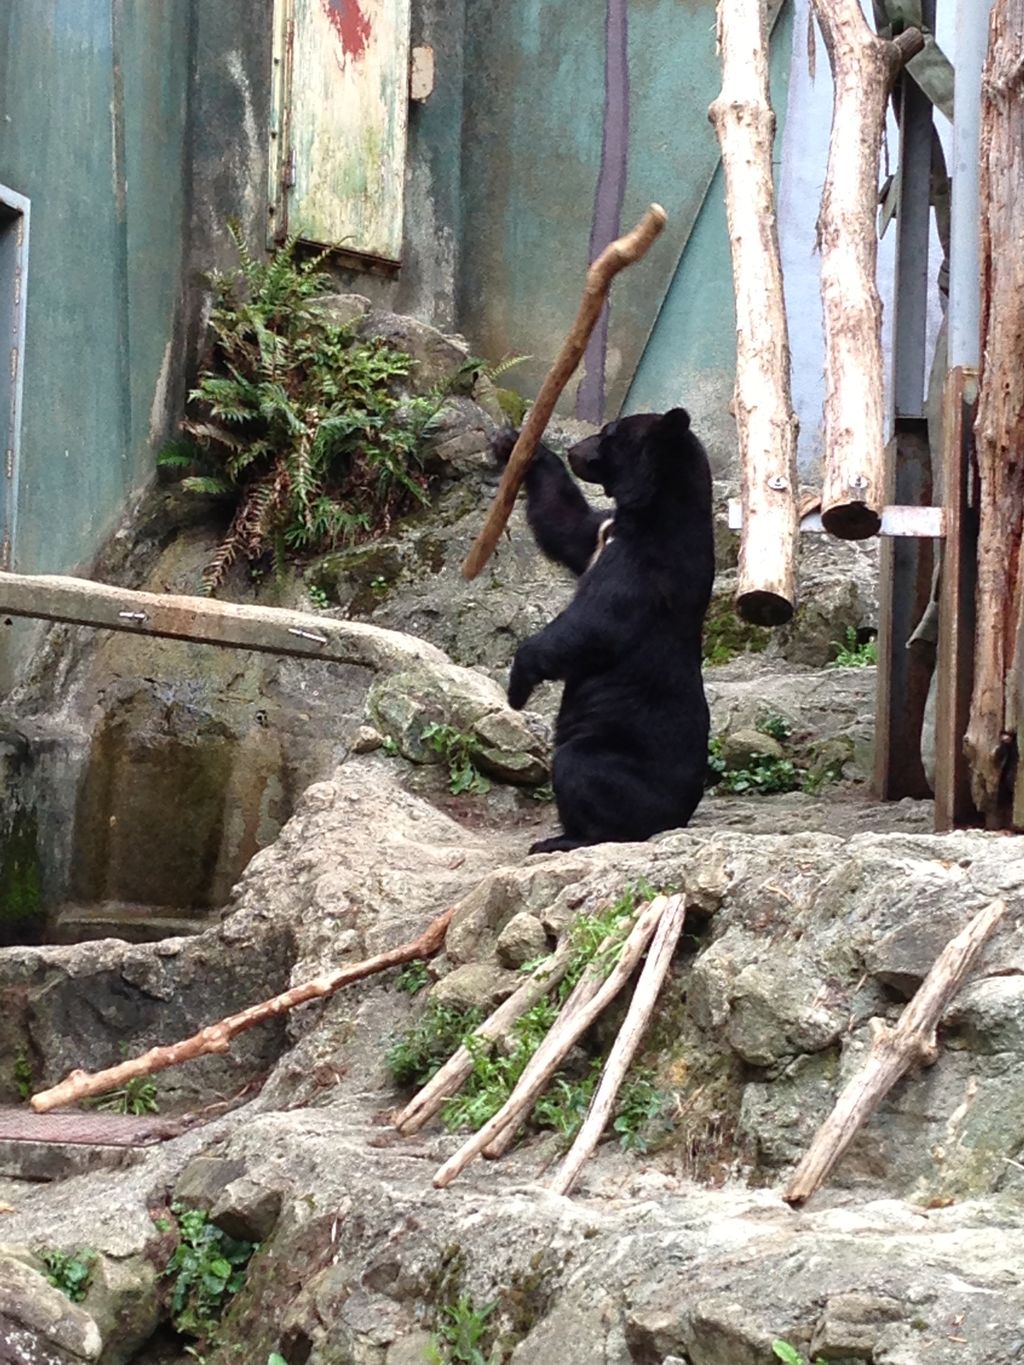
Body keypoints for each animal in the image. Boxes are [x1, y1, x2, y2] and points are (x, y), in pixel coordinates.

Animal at [496, 406, 715, 851]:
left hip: (610, 753)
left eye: (607, 432)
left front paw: (517, 687)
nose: (574, 449)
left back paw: (563, 839)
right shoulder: (603, 533)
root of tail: (675, 818)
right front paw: (516, 444)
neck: (653, 510)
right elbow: (567, 525)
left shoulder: (640, 572)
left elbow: (590, 627)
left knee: (579, 770)